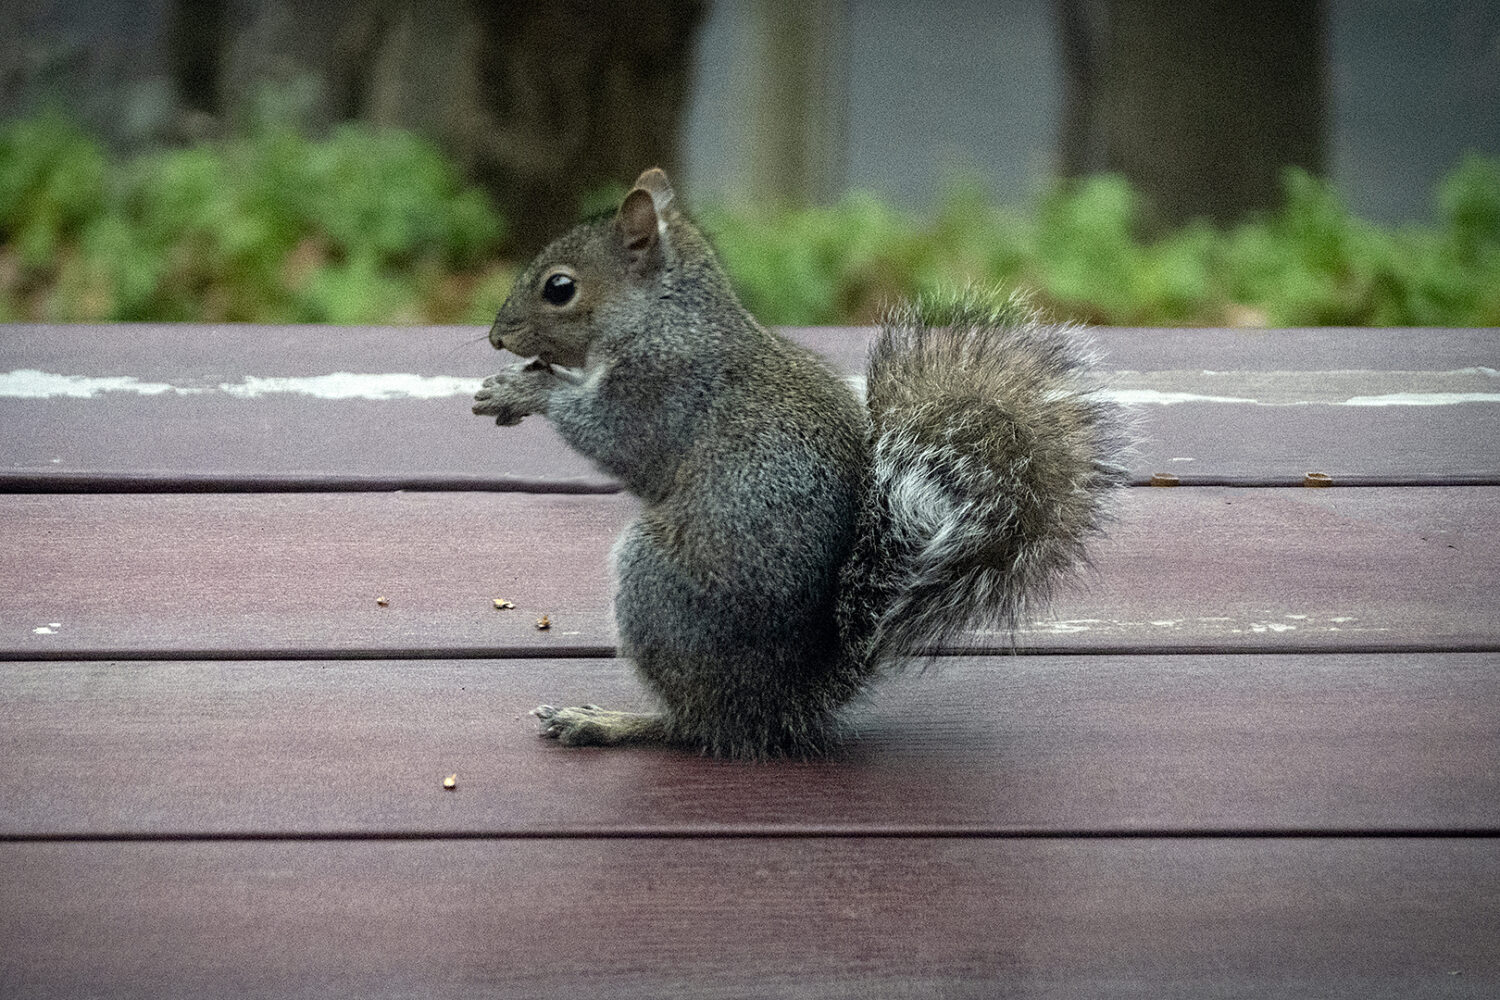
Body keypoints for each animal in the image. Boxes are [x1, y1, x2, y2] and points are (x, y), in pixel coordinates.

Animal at [473, 167, 1128, 759]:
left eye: (560, 287)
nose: (497, 337)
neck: (665, 318)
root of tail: (785, 702)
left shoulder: (660, 392)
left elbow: (609, 434)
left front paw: (524, 390)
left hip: (657, 589)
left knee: (697, 725)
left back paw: (607, 722)